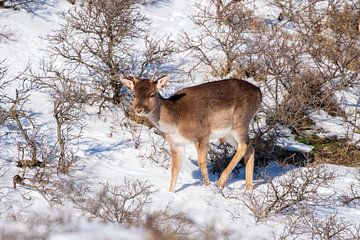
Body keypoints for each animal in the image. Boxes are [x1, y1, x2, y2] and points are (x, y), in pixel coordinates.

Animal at [121, 73, 262, 193]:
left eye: (152, 94)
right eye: (134, 94)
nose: (138, 110)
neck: (175, 121)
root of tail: (259, 92)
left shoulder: (202, 135)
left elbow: (201, 163)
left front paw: (207, 186)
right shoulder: (176, 143)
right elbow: (174, 169)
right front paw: (170, 192)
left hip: (240, 124)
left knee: (244, 145)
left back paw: (220, 182)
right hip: (228, 133)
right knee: (250, 148)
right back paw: (248, 188)